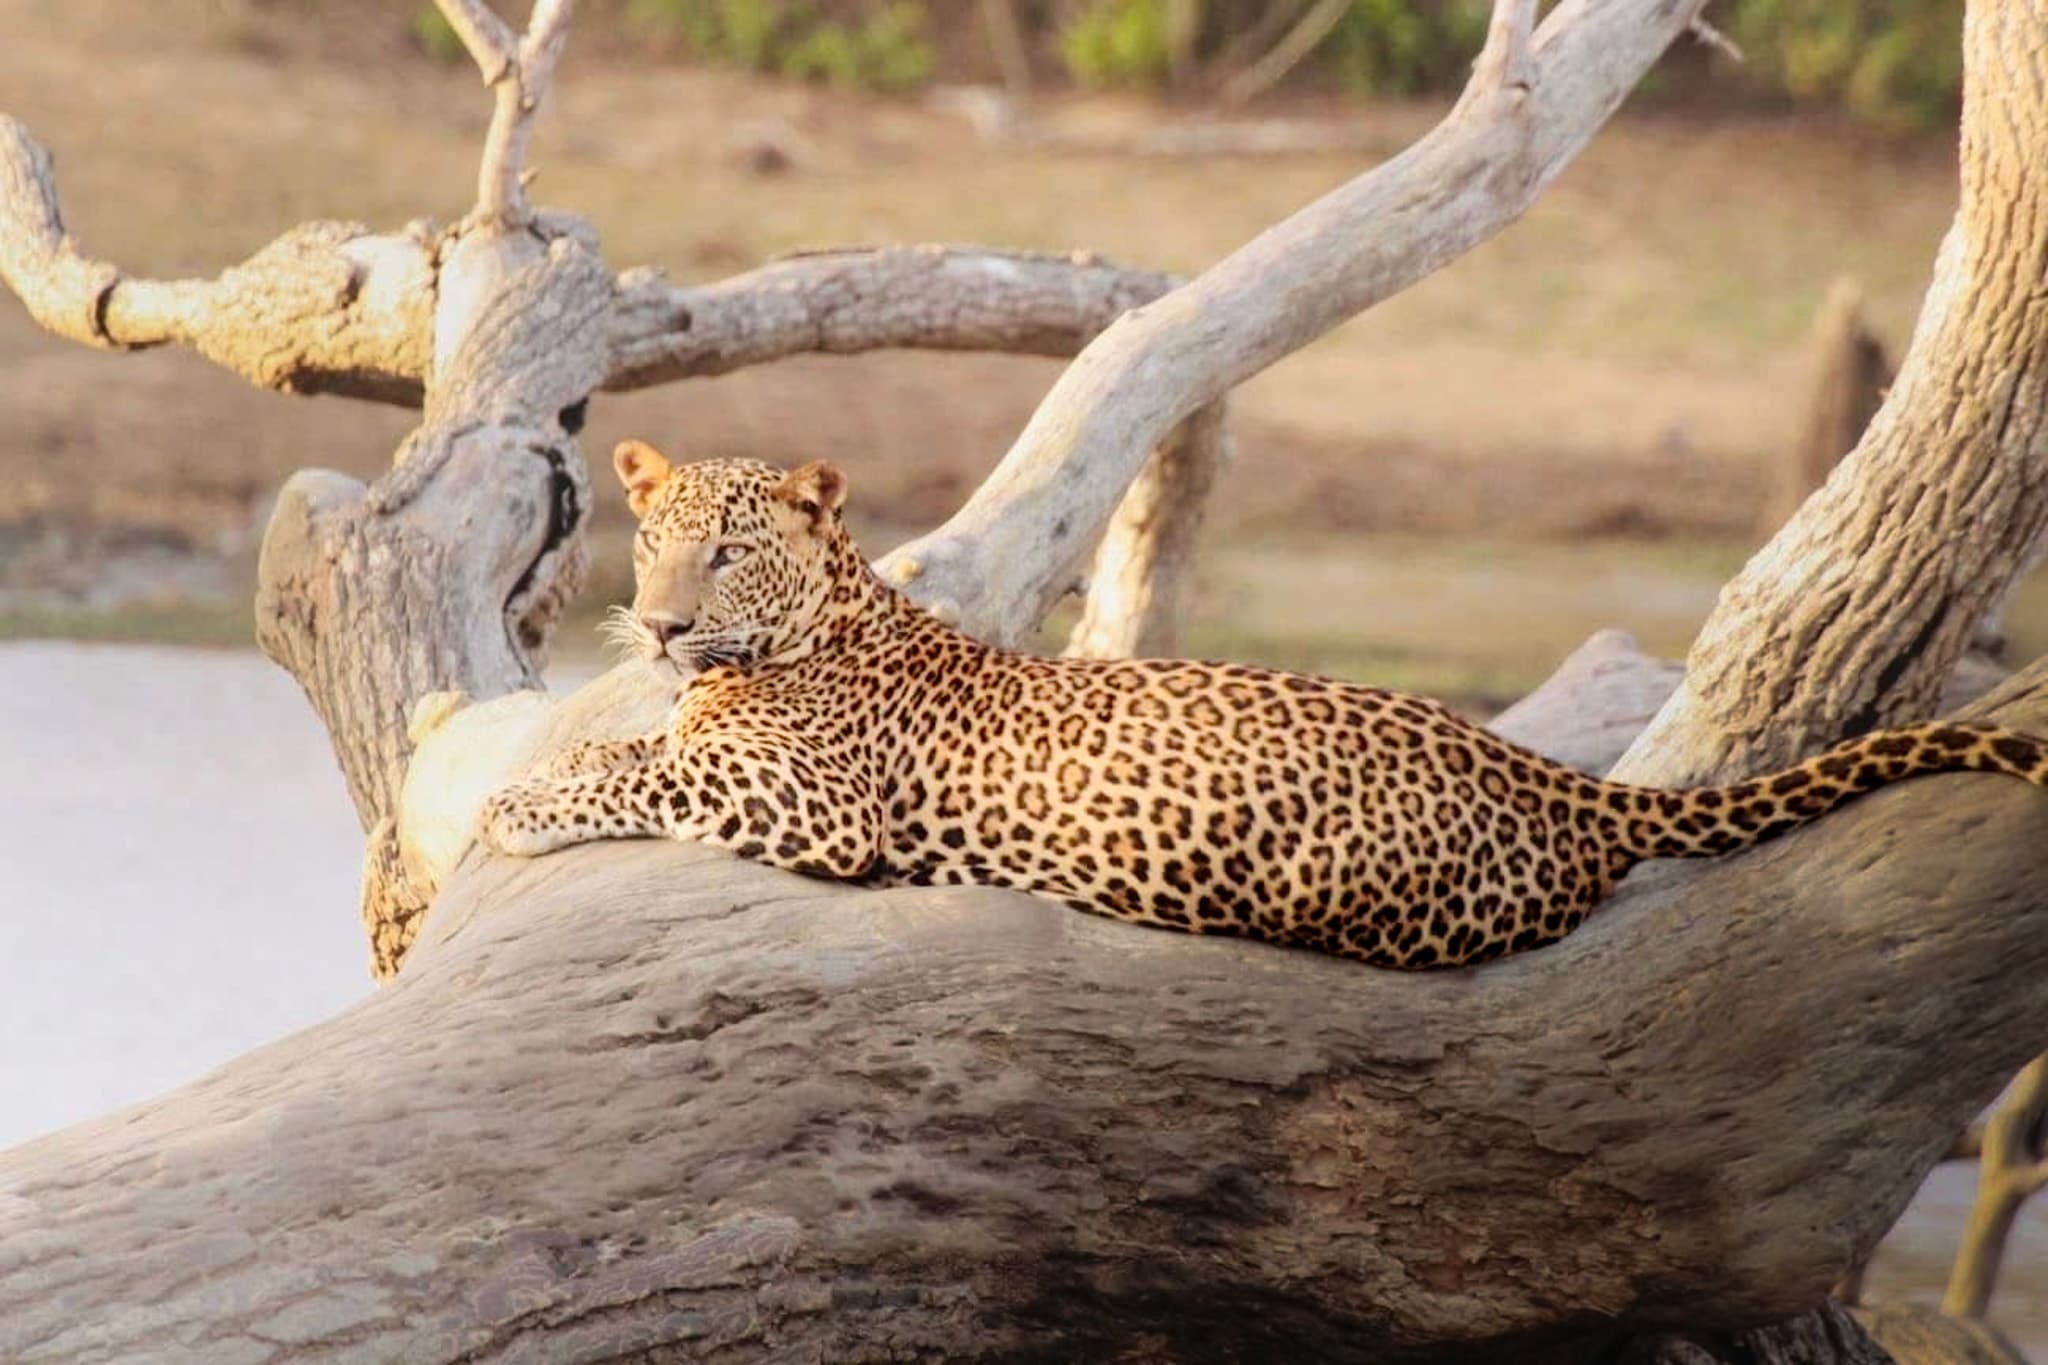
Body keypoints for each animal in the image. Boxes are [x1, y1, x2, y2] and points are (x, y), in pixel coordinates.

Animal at [477, 441, 2048, 970]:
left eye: (728, 550)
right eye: (654, 540)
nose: (662, 618)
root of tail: (1534, 766)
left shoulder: (818, 805)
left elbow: (643, 772)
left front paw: (517, 803)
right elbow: (647, 741)